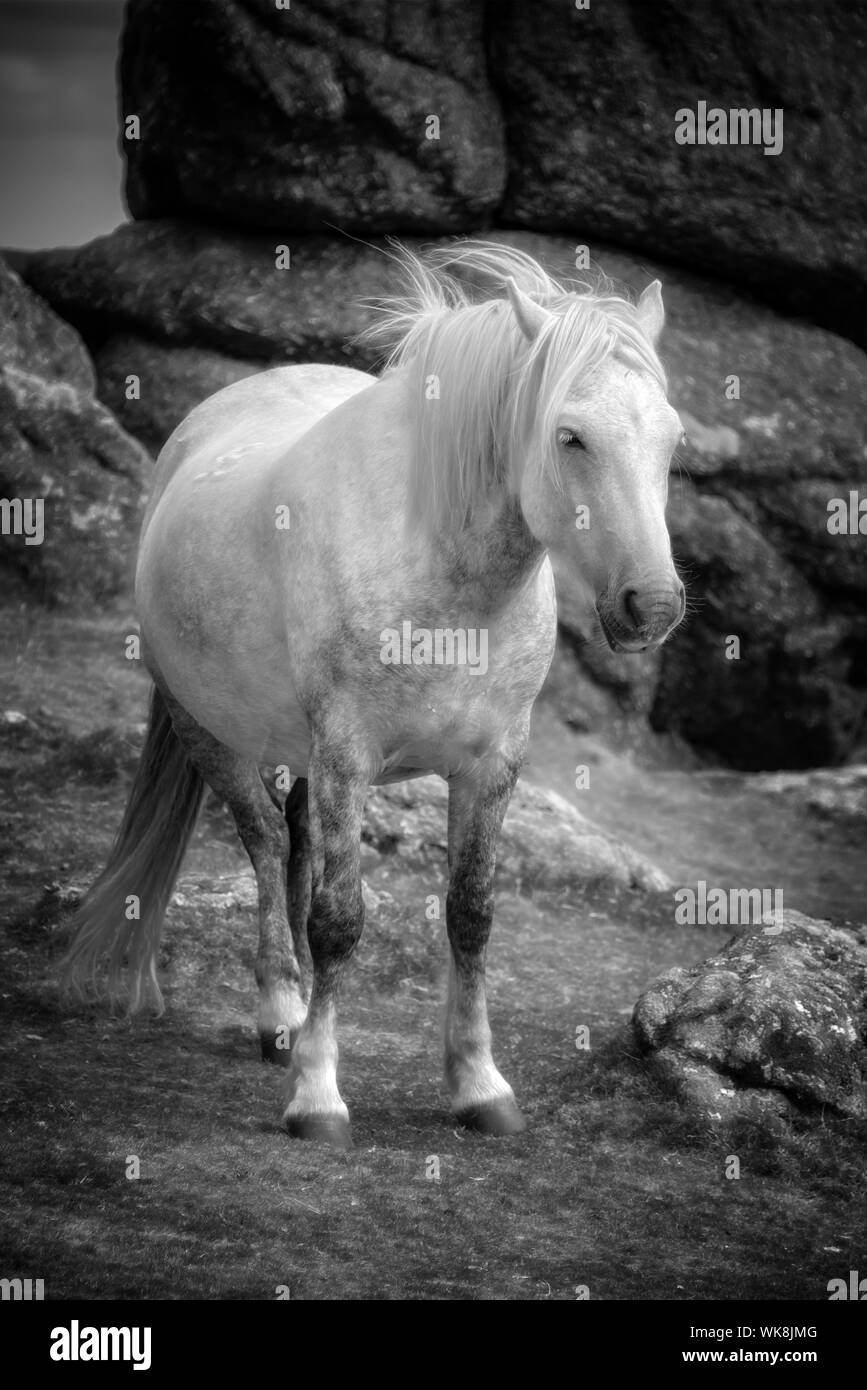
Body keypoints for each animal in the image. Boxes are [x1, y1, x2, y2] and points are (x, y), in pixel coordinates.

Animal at [62, 240, 686, 1148]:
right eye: (570, 436)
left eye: (671, 439)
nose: (653, 606)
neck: (443, 577)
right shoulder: (348, 758)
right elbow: (339, 923)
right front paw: (317, 1098)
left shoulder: (490, 766)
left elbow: (469, 915)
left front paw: (478, 1087)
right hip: (211, 732)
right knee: (262, 846)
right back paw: (280, 1015)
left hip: (301, 756)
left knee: (290, 843)